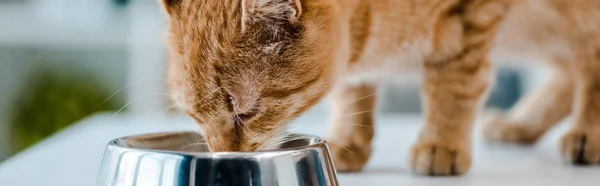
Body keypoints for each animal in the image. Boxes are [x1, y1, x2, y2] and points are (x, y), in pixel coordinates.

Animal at [159, 0, 600, 175]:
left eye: (243, 111)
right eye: (195, 116)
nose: (223, 157)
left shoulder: (471, 20)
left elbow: (453, 87)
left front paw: (441, 142)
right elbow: (351, 89)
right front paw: (348, 140)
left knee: (587, 64)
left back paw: (585, 135)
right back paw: (519, 124)